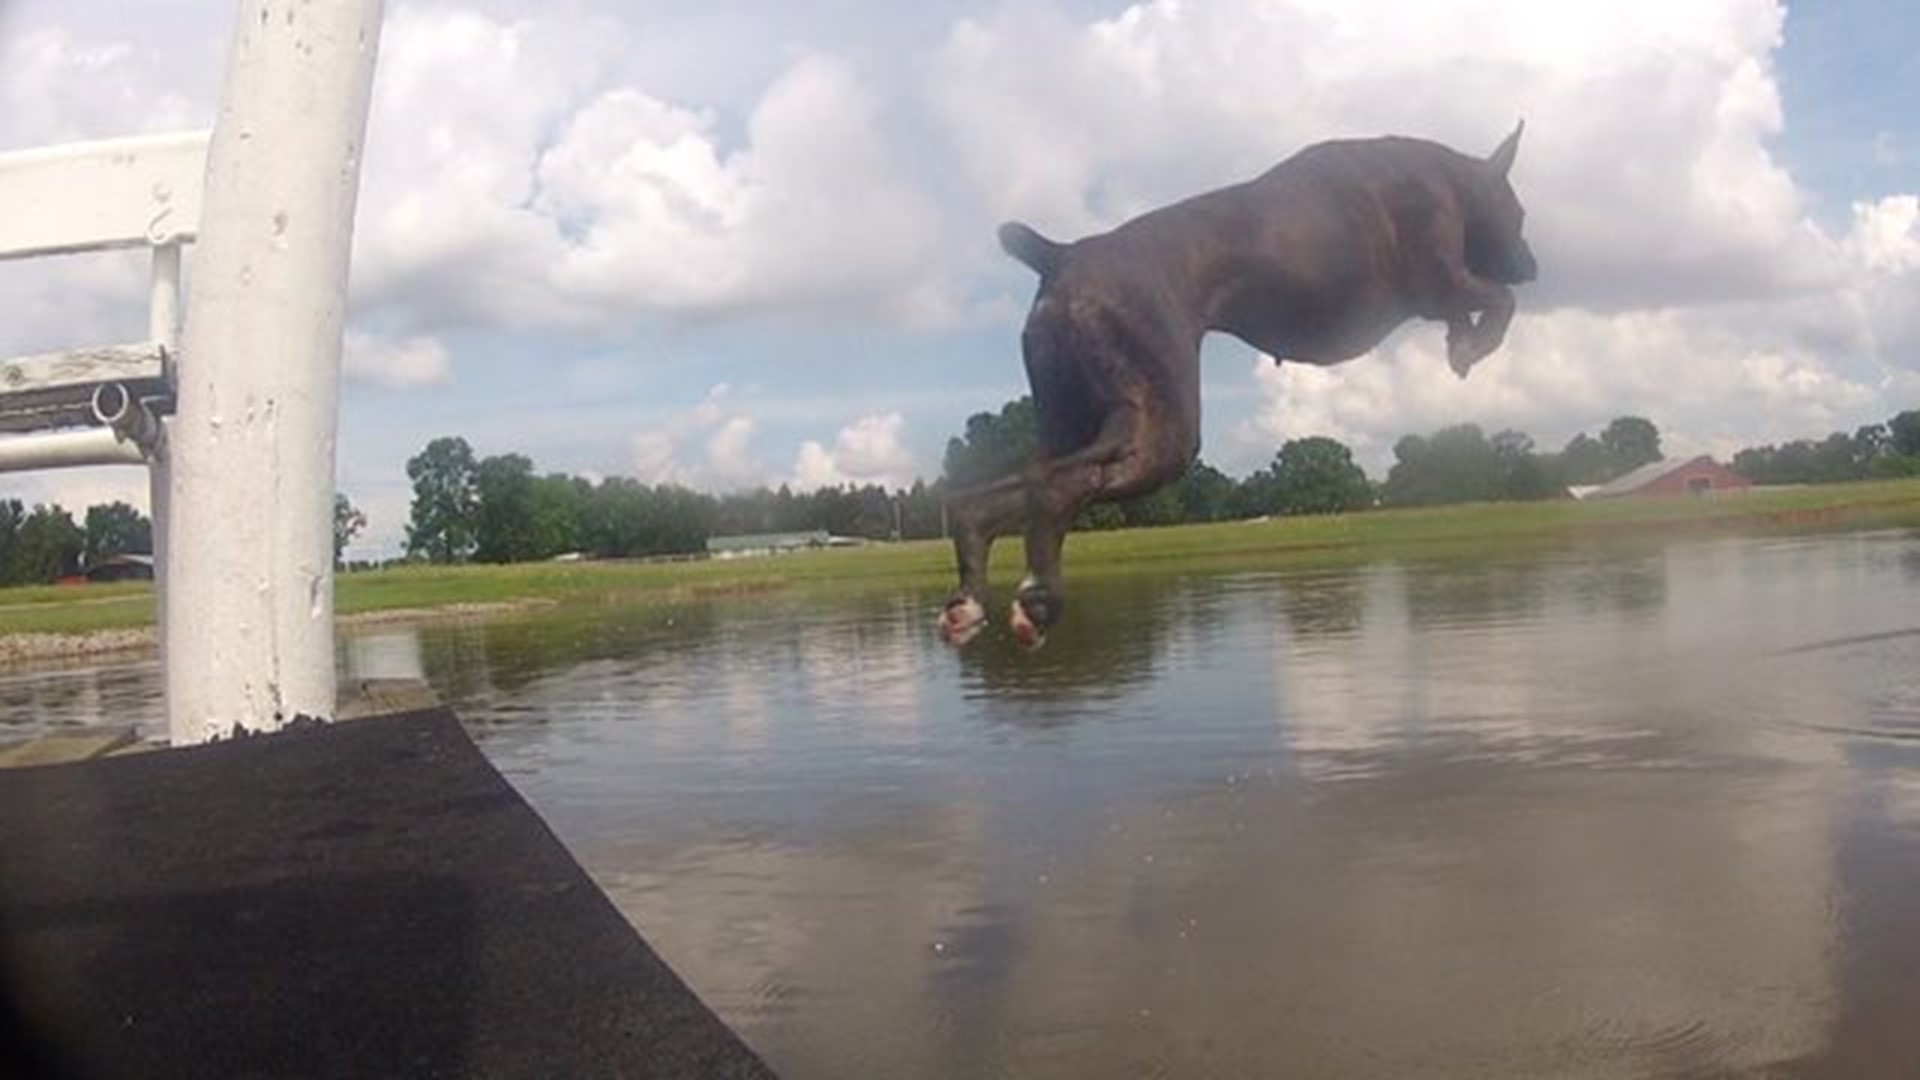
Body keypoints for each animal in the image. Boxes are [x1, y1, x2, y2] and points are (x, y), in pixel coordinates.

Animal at [944, 125, 1543, 645]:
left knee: (997, 494)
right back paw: (1039, 603)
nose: (1533, 267)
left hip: (1073, 418)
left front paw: (1461, 345)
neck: (1448, 176)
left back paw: (972, 602)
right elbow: (1499, 300)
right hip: (1163, 430)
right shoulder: (1440, 281)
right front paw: (1477, 343)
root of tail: (1063, 254)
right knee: (1058, 486)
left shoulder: (1438, 295)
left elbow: (1473, 310)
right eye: (1519, 214)